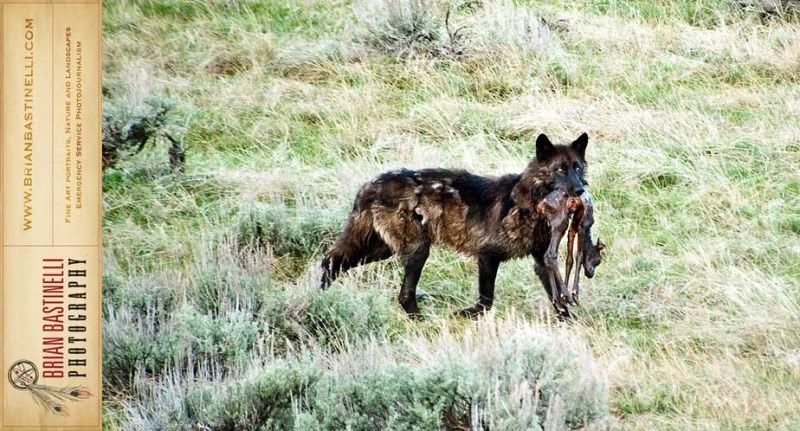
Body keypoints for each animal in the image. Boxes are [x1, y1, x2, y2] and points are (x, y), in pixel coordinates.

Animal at [320, 133, 594, 318]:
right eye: (560, 170)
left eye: (577, 167)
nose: (580, 190)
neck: (527, 202)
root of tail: (369, 185)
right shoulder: (487, 257)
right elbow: (486, 301)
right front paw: (467, 314)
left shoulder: (540, 259)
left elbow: (556, 297)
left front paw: (569, 322)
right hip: (416, 251)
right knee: (404, 294)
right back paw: (422, 322)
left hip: (380, 250)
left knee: (332, 261)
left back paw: (321, 296)